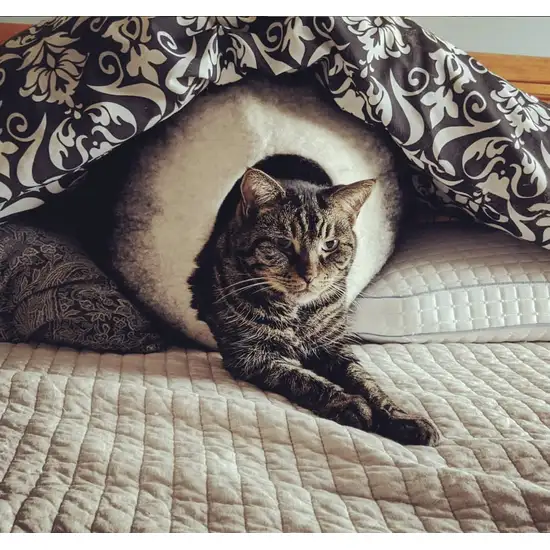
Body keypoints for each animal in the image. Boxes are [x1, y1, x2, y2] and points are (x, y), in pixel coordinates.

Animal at [190, 168, 440, 448]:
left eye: (330, 244)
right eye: (284, 244)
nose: (309, 275)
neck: (297, 314)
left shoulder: (334, 347)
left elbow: (366, 382)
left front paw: (400, 416)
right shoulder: (253, 355)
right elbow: (304, 379)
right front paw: (348, 403)